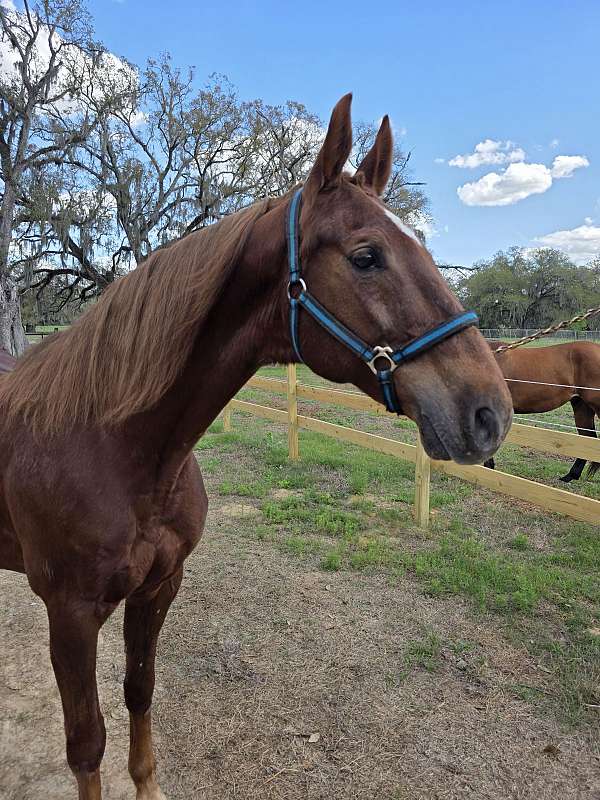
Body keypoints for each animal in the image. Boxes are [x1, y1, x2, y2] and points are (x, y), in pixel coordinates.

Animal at [0, 95, 512, 800]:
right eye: (366, 256)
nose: (490, 413)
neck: (115, 446)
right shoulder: (69, 615)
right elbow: (87, 744)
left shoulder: (159, 588)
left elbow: (140, 691)